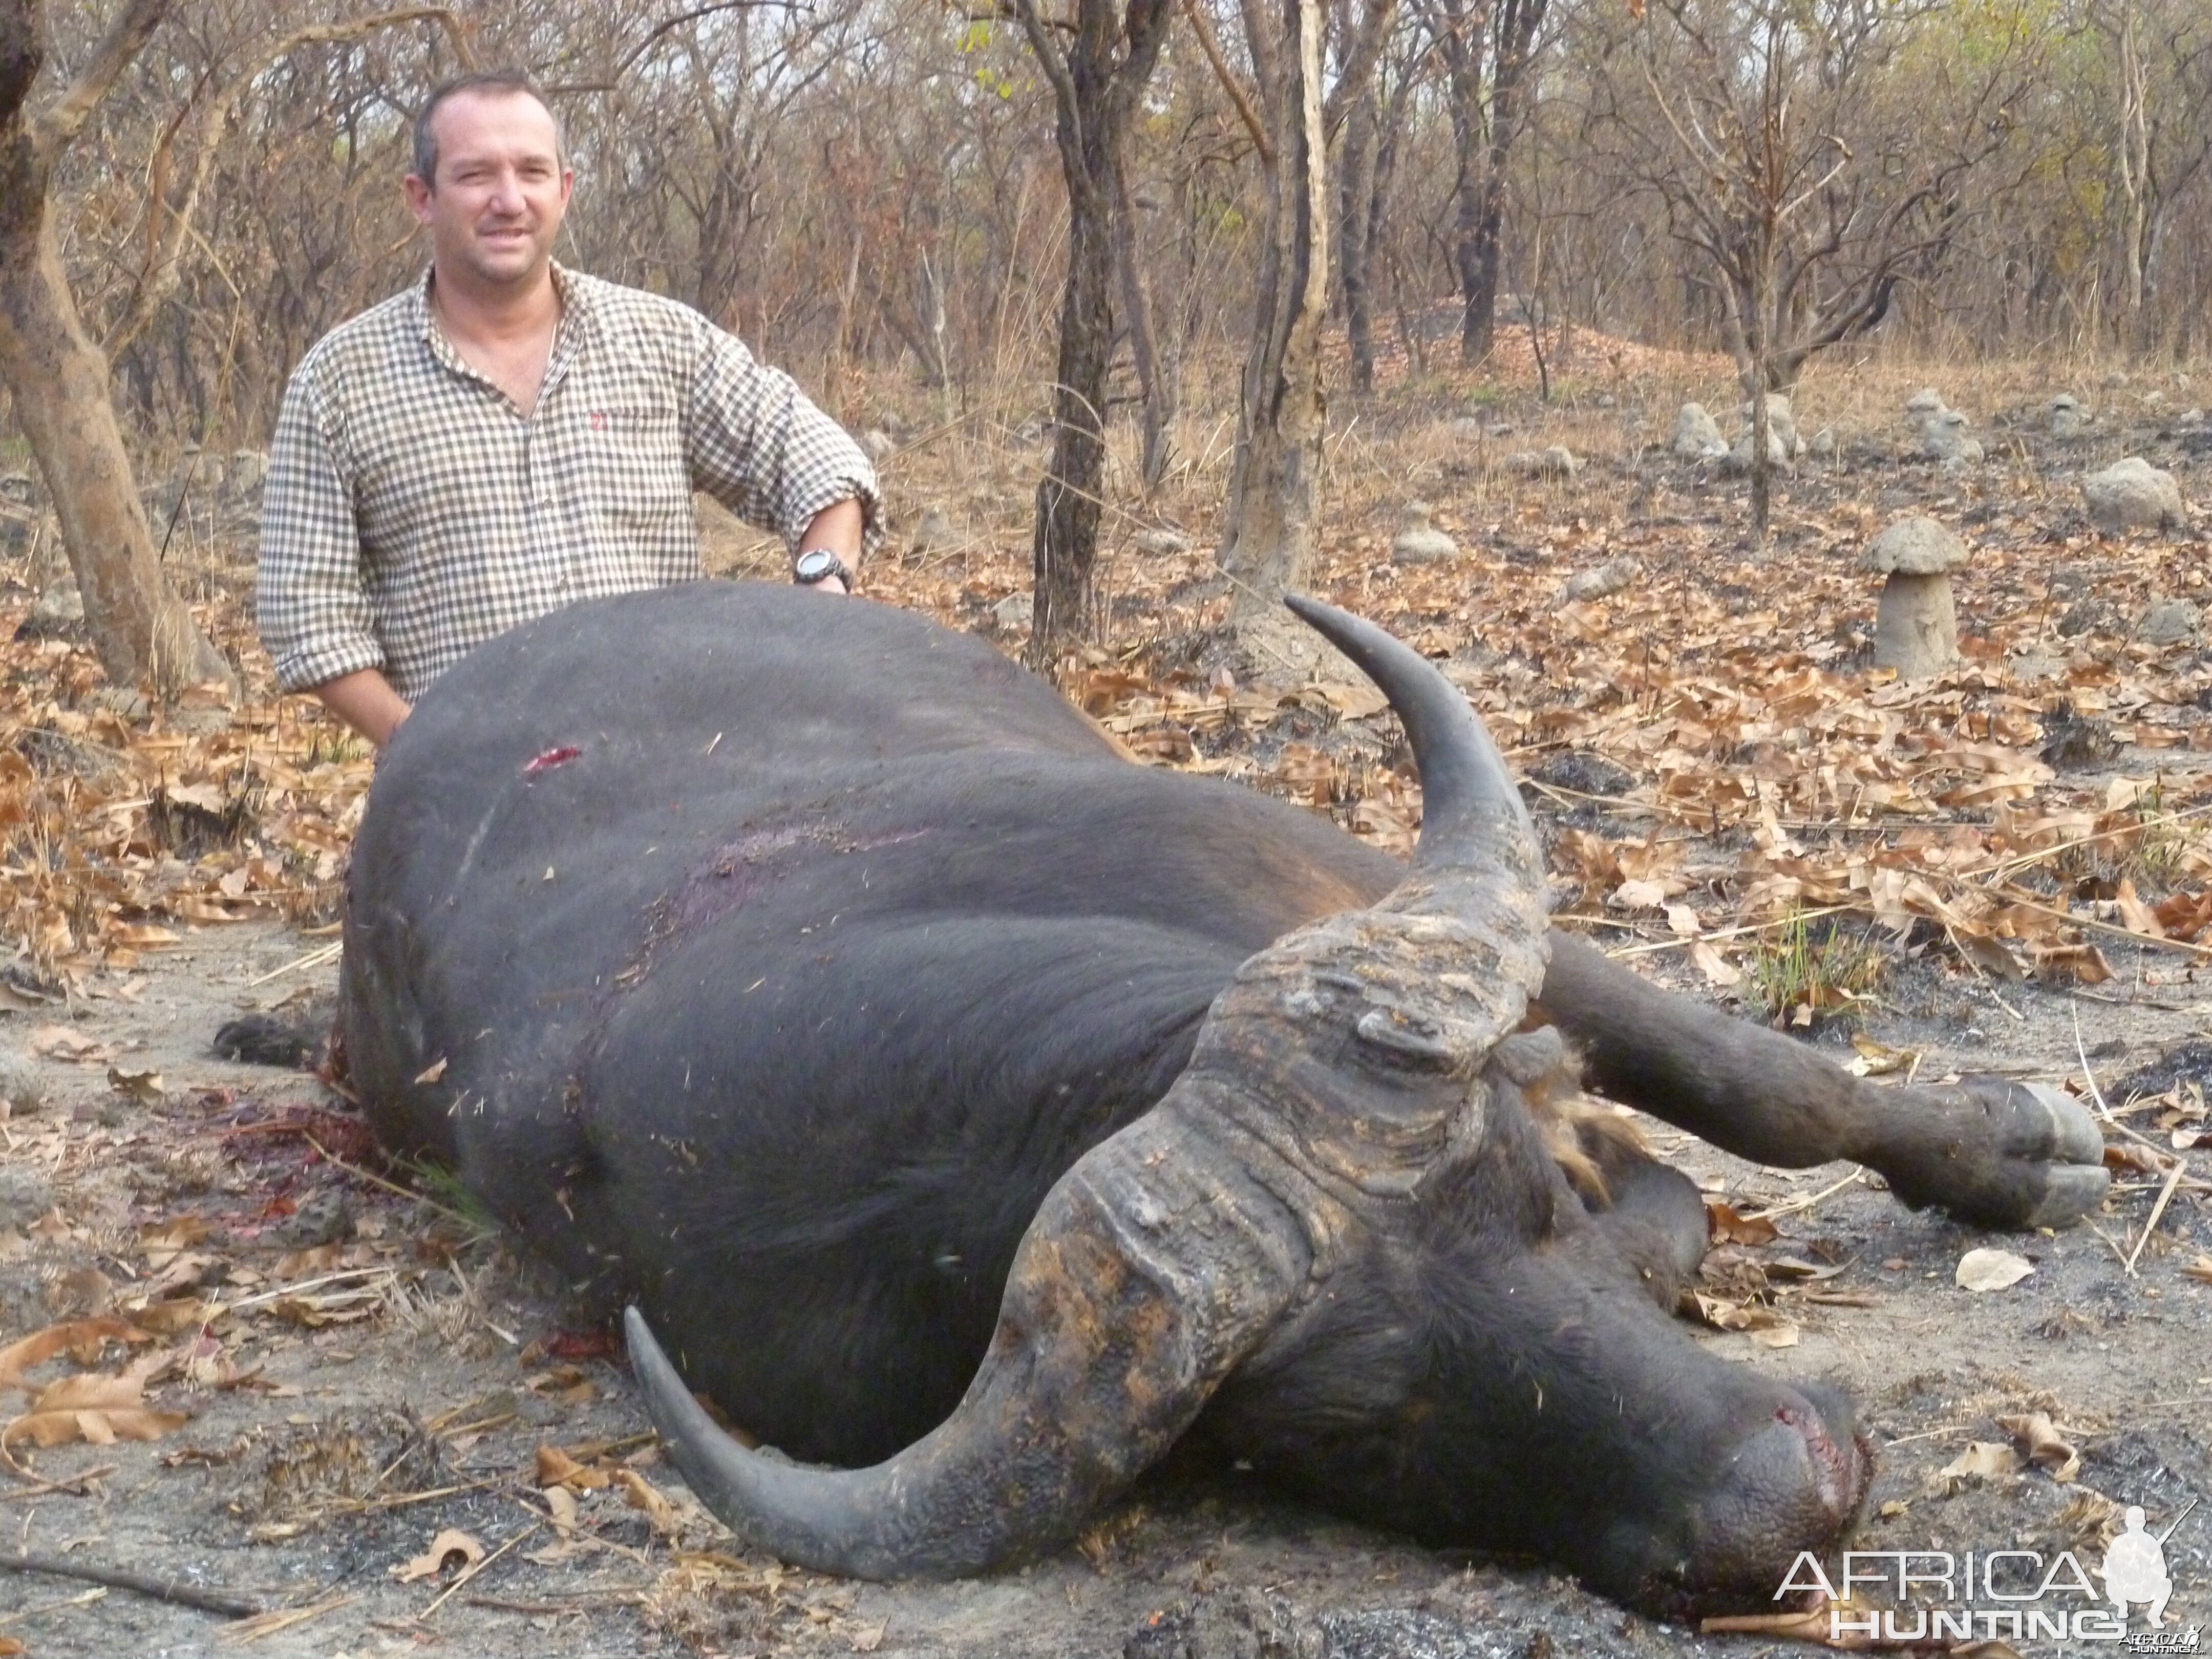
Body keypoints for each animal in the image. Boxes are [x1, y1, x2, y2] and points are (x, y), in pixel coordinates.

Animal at [332, 579, 2105, 1619]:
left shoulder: (1332, 880)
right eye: (1364, 1430)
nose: (1784, 1501)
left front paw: (2024, 1149)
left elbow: (1768, 1086)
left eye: (1531, 1207)